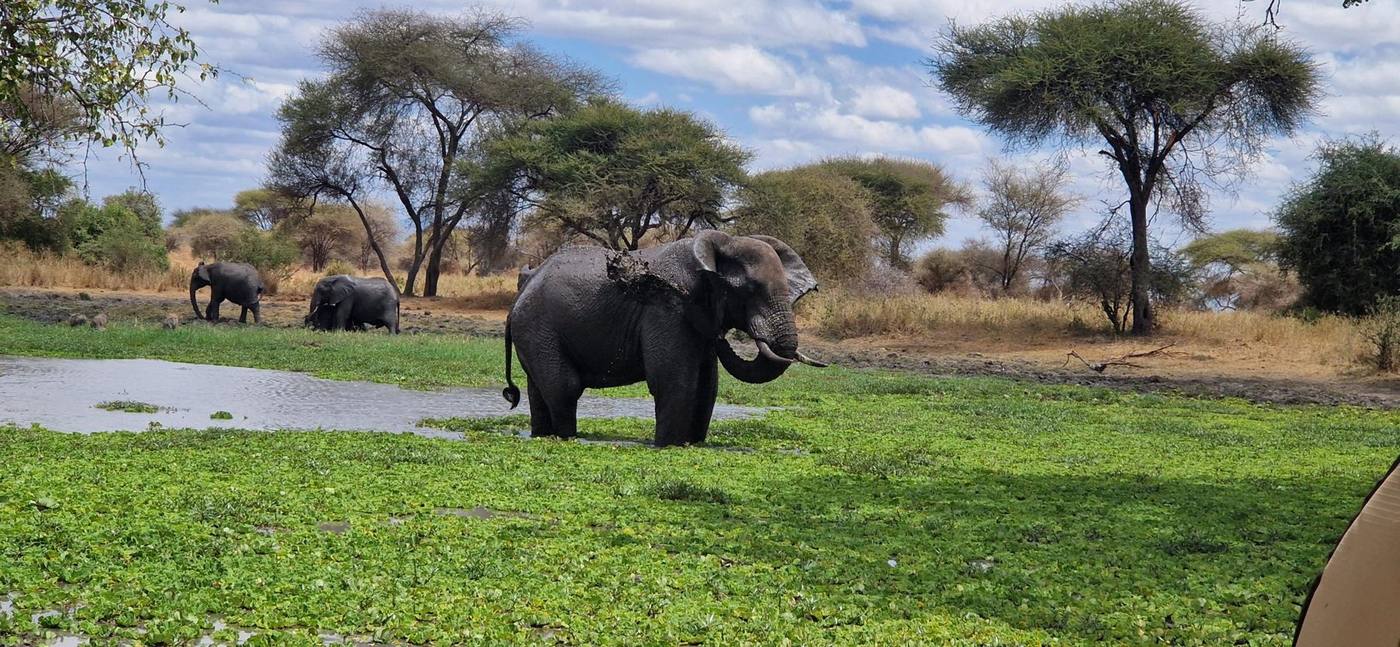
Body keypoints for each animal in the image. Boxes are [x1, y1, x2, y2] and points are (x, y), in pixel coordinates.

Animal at [502, 230, 827, 447]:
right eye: (749, 290)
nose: (723, 337)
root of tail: (523, 289)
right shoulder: (668, 309)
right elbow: (674, 381)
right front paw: (668, 446)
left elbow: (707, 387)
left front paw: (690, 445)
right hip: (537, 327)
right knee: (564, 387)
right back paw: (567, 438)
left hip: (535, 332)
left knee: (540, 389)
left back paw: (542, 435)